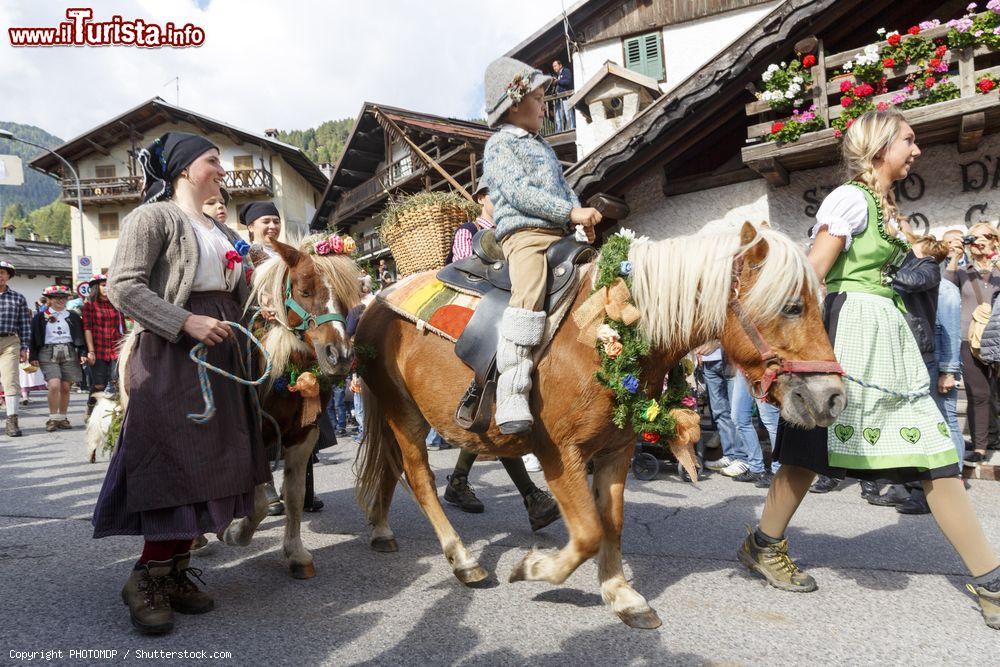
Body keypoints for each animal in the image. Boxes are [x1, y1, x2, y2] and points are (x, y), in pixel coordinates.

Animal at [356, 224, 848, 632]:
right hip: (405, 413)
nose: (833, 398)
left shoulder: (617, 449)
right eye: (792, 306)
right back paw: (462, 560)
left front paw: (621, 595)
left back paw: (381, 529)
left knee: (390, 468)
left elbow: (611, 523)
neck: (597, 333)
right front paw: (532, 568)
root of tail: (375, 303)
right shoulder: (560, 453)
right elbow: (589, 533)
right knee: (418, 477)